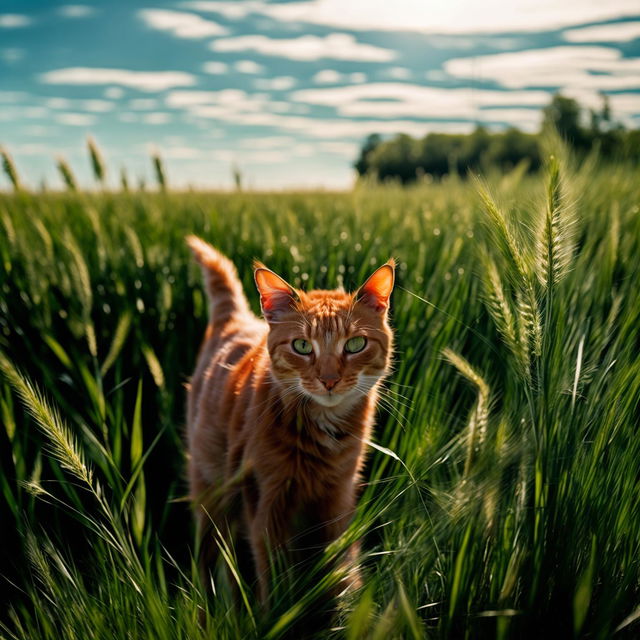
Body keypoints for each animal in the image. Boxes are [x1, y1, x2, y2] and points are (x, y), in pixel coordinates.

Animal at [186, 236, 396, 604]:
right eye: (302, 346)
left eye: (356, 344)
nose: (329, 380)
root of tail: (236, 319)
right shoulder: (267, 505)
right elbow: (275, 578)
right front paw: (279, 611)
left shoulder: (337, 497)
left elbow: (339, 565)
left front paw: (343, 603)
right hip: (213, 494)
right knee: (213, 562)